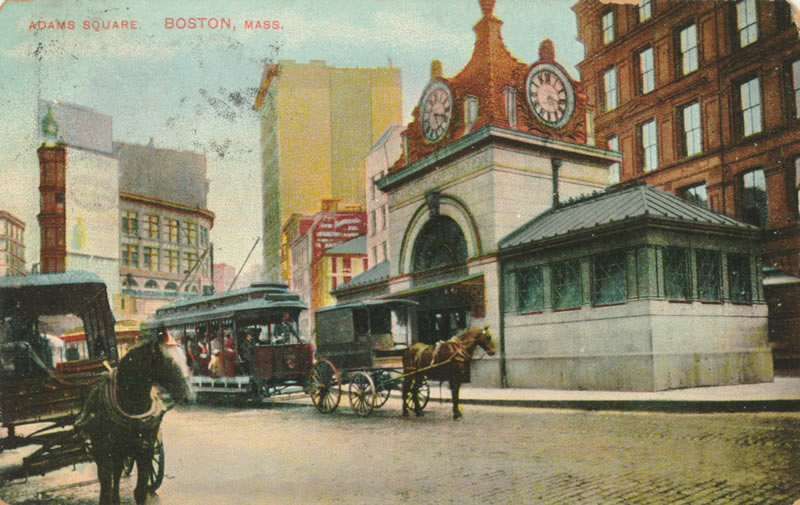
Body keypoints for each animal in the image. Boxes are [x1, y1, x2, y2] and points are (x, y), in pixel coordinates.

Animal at [77, 330, 191, 504]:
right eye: (169, 360)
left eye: (184, 358)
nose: (188, 396)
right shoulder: (105, 450)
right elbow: (106, 485)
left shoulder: (145, 449)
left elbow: (140, 491)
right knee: (107, 480)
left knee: (117, 472)